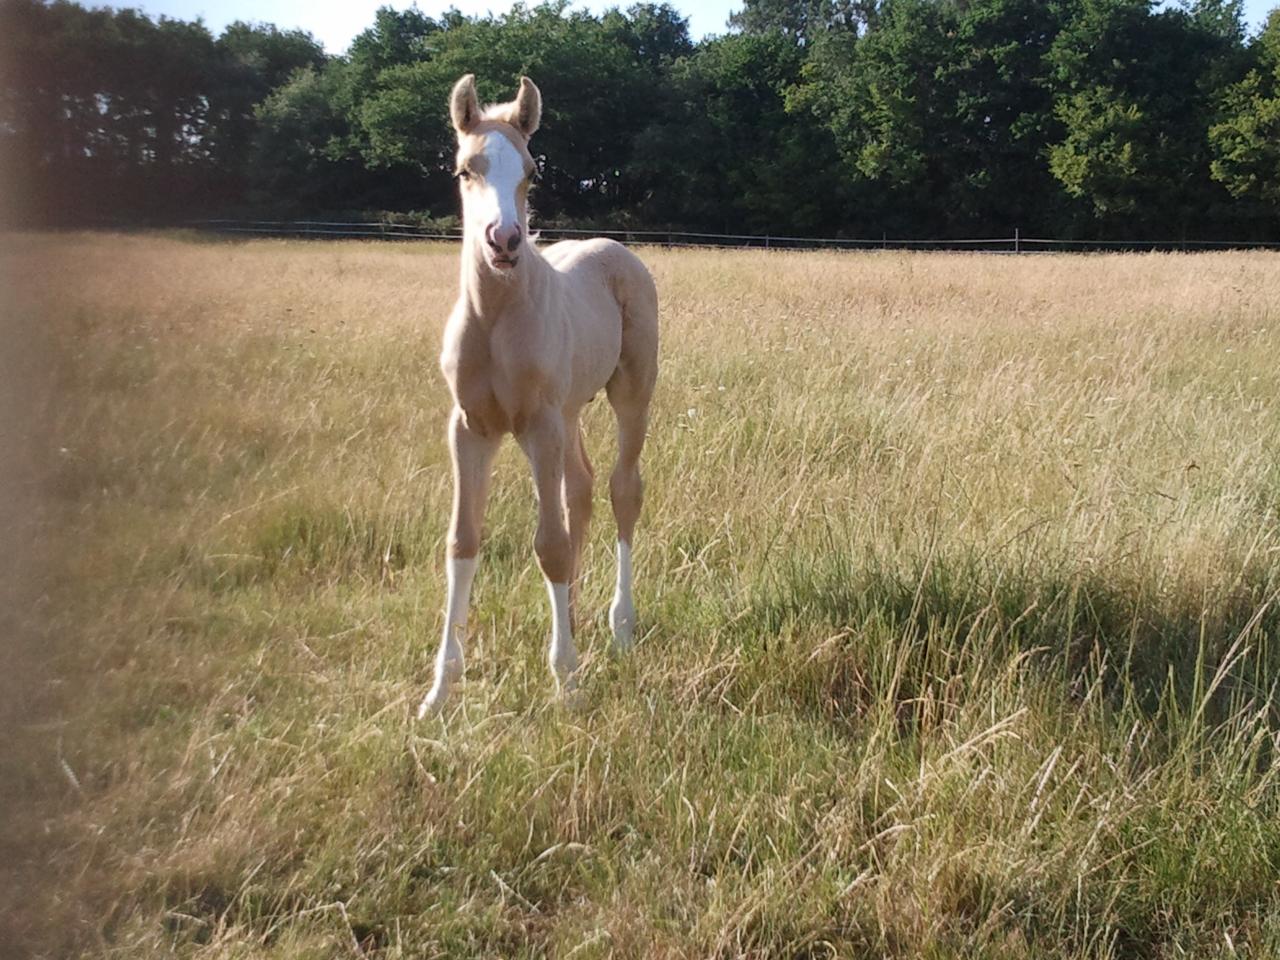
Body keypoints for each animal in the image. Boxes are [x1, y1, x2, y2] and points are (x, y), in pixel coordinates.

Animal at [419, 73, 660, 716]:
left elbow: (548, 544)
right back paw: (572, 617)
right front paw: (438, 692)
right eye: (466, 169)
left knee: (622, 489)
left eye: (530, 171)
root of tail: (614, 247)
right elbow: (462, 541)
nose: (503, 241)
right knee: (580, 489)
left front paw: (567, 683)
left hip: (629, 392)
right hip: (569, 412)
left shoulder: (539, 425)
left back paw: (619, 626)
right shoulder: (469, 428)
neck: (495, 319)